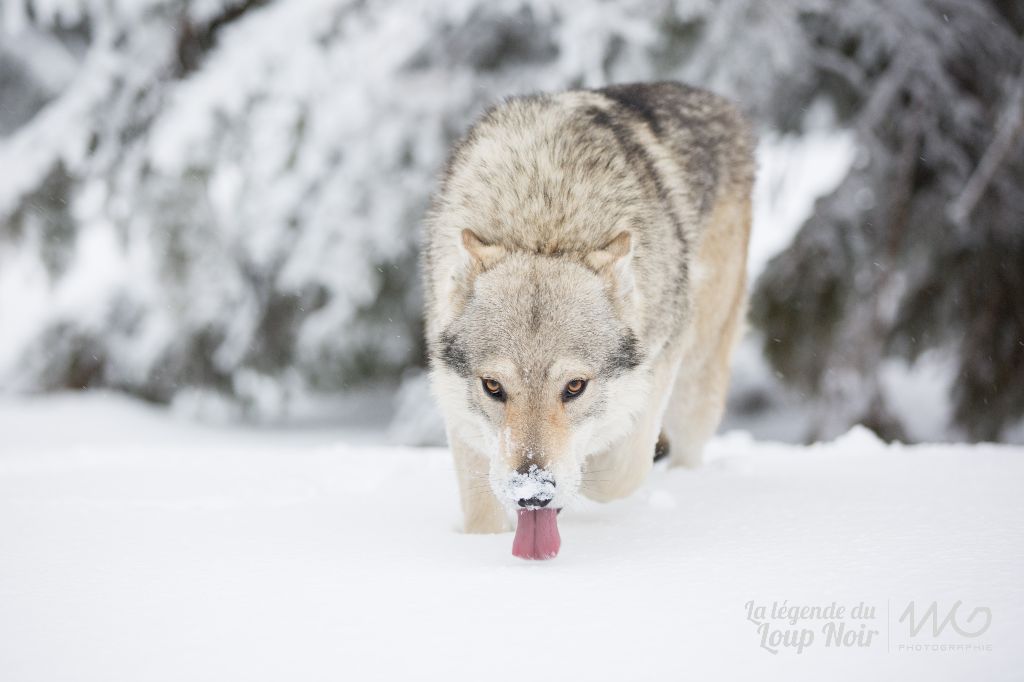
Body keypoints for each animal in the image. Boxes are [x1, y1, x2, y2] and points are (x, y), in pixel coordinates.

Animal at [422, 82, 754, 557]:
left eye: (574, 387)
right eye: (493, 387)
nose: (532, 494)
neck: (544, 222)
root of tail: (714, 99)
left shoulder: (659, 361)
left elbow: (616, 473)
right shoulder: (459, 413)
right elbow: (481, 511)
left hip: (696, 381)